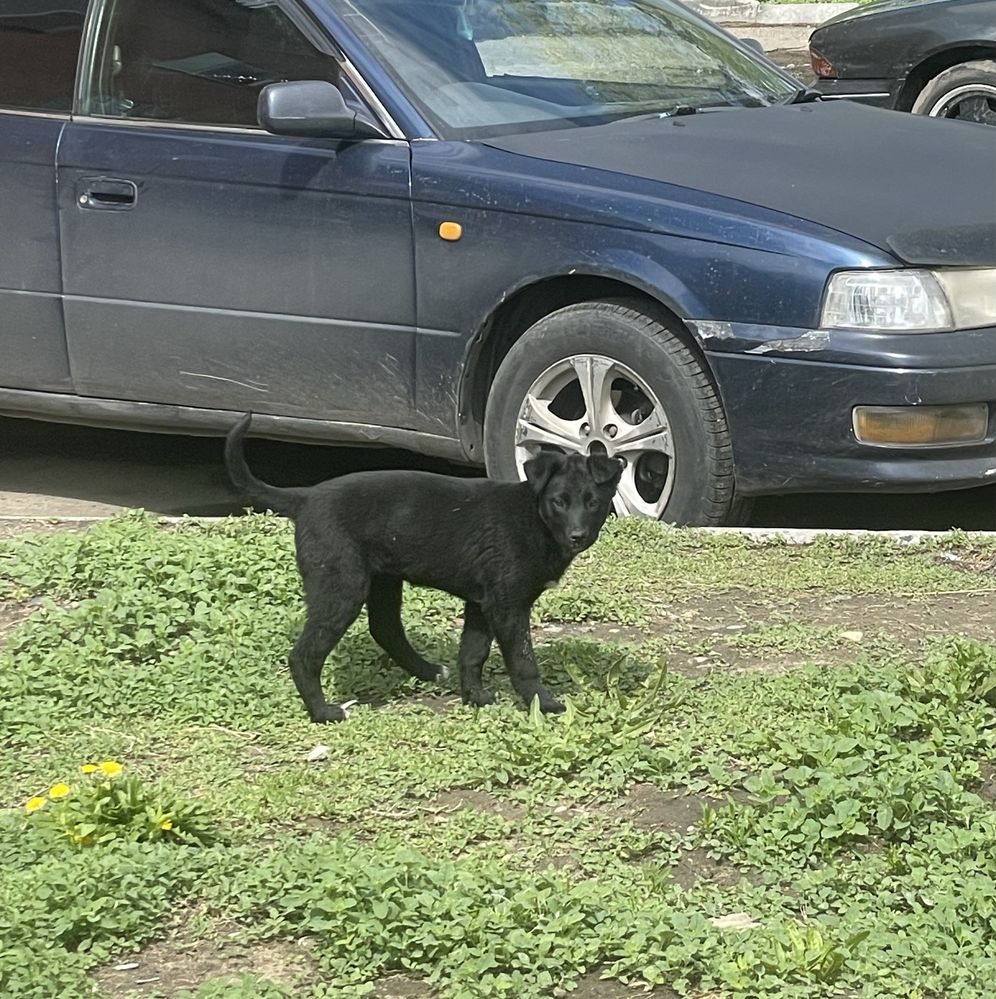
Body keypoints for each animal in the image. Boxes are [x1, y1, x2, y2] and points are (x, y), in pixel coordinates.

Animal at [226, 416, 624, 728]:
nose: (577, 536)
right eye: (559, 502)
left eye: (593, 503)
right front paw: (544, 703)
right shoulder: (507, 605)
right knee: (305, 654)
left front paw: (475, 697)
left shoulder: (482, 603)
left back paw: (430, 672)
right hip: (341, 586)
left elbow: (473, 652)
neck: (534, 517)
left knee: (385, 629)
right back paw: (322, 712)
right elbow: (523, 660)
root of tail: (305, 498)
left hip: (383, 581)